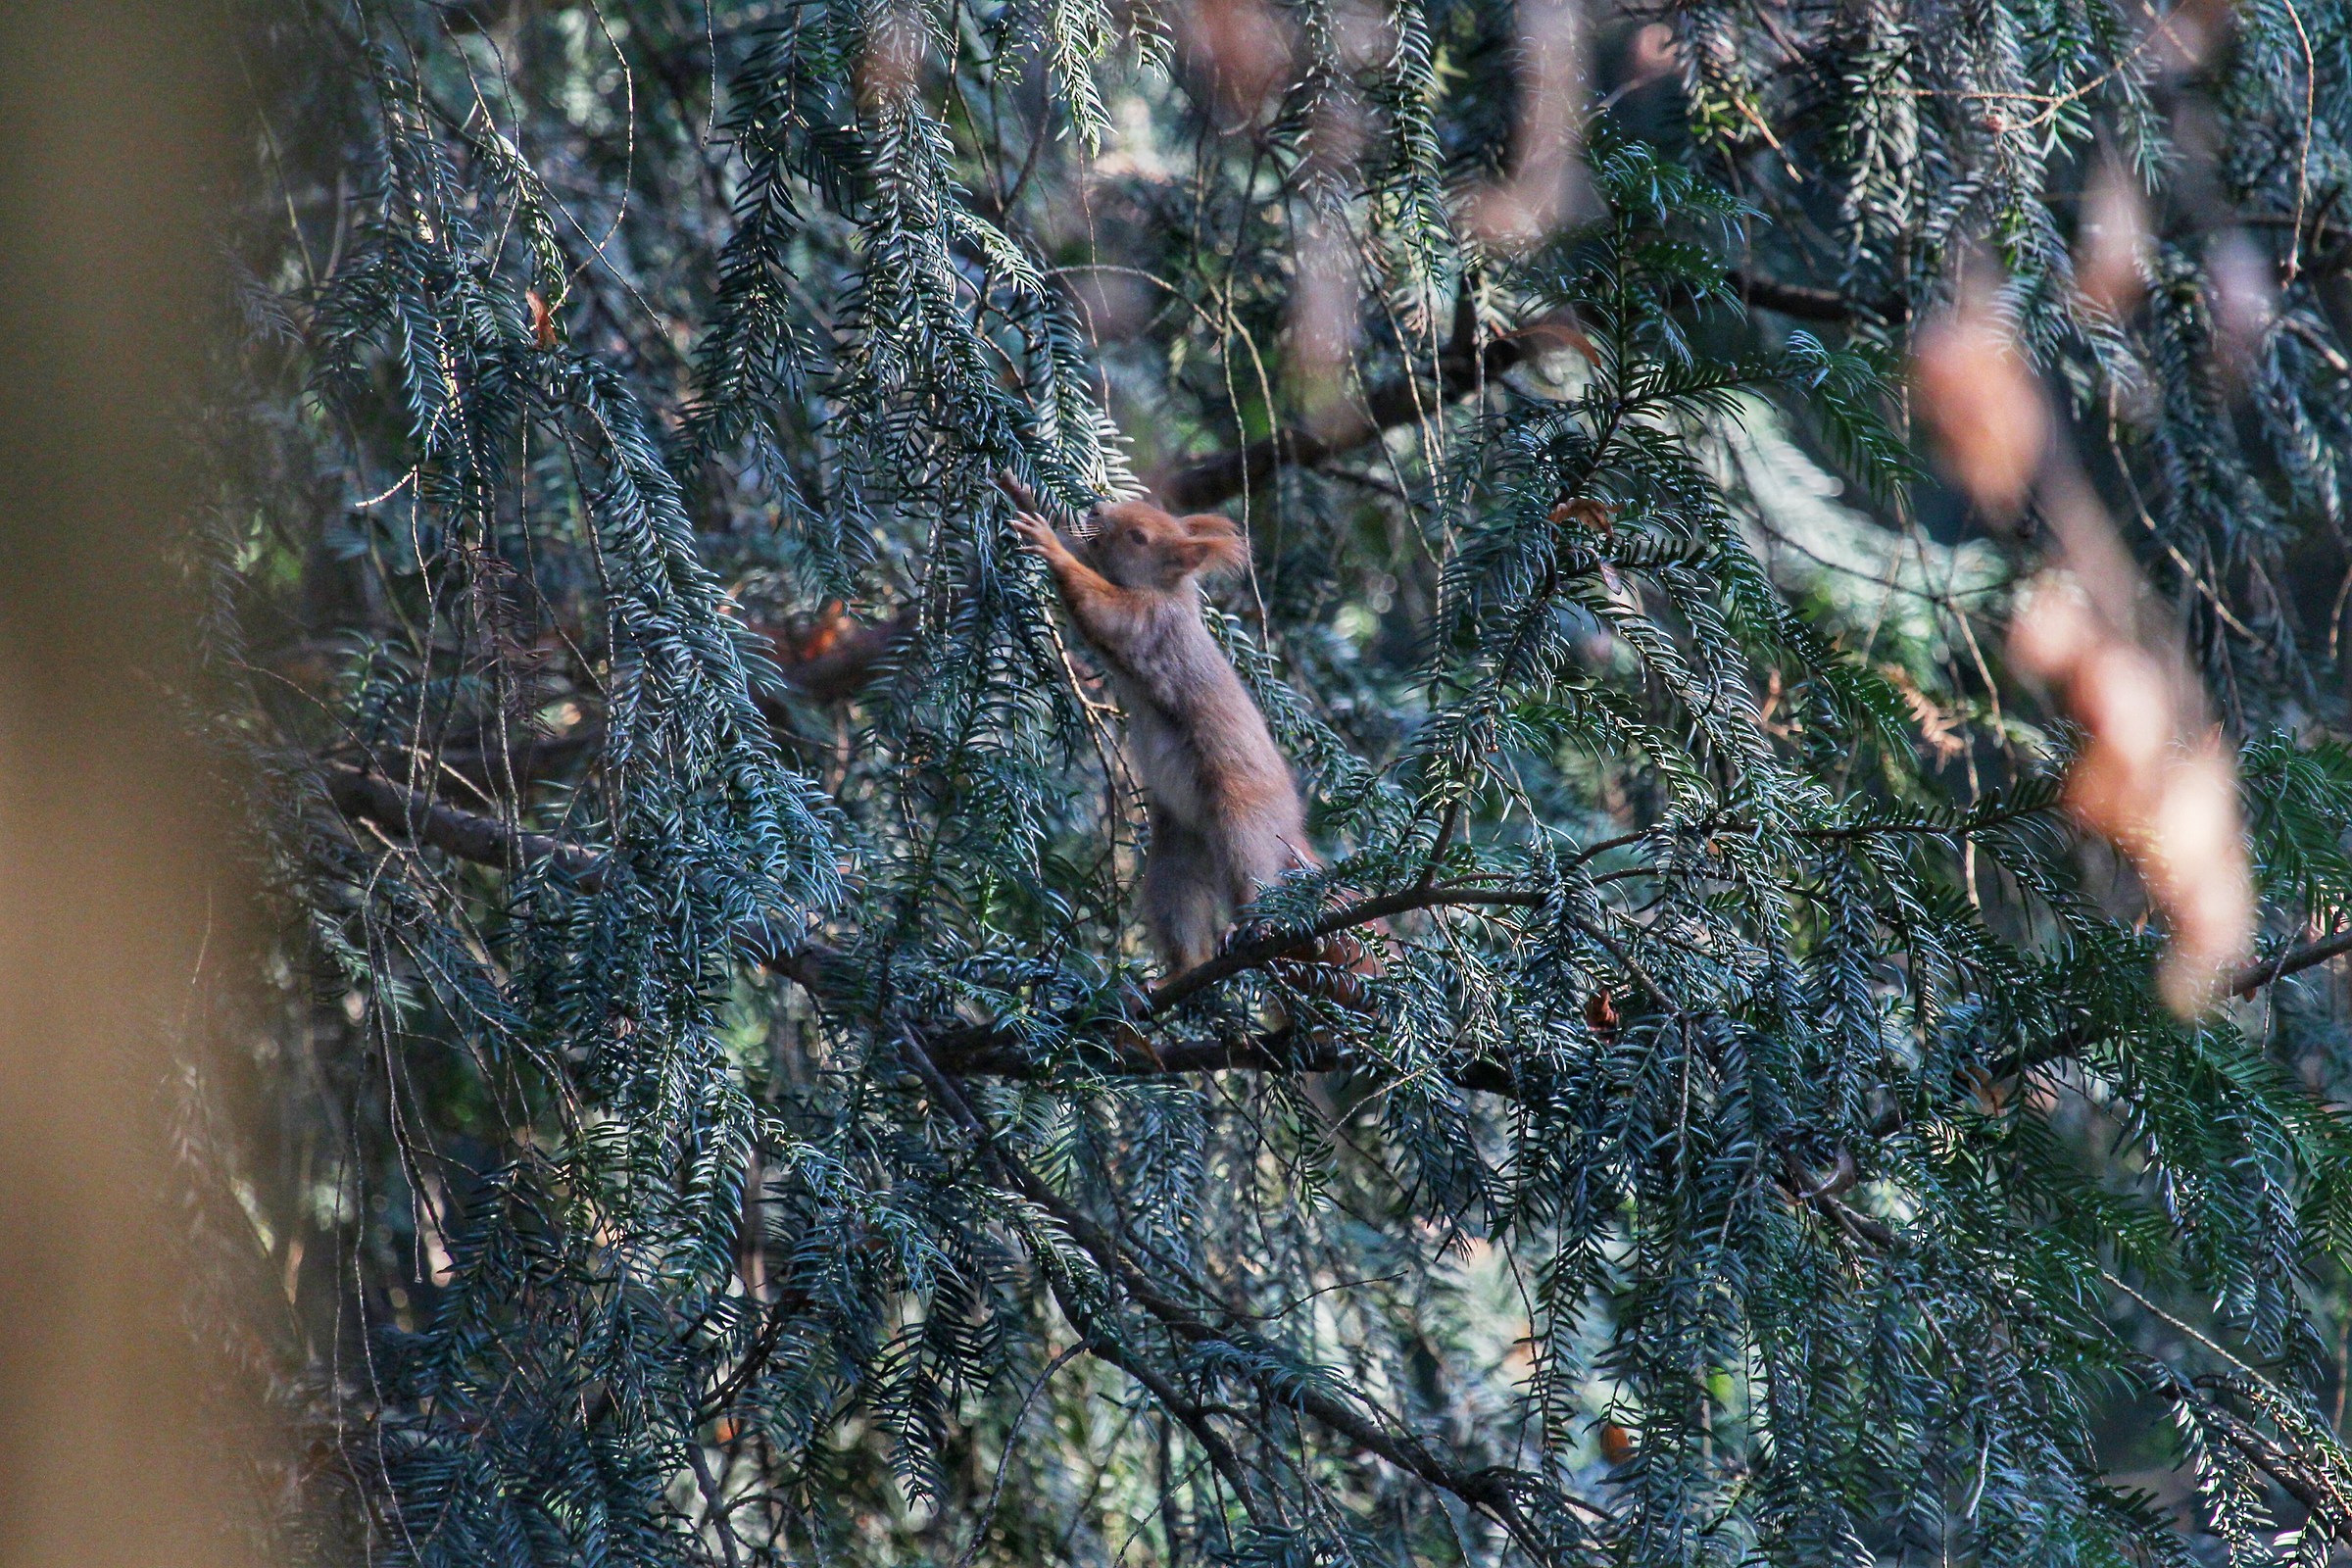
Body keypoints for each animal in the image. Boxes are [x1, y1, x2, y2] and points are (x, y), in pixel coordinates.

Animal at [1004, 489, 1314, 975]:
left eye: (1138, 537)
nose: (1095, 508)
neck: (1164, 592)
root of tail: (1291, 822)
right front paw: (1036, 502)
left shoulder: (1146, 621)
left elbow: (1098, 607)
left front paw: (1049, 542)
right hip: (1178, 848)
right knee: (1182, 906)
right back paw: (1176, 976)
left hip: (1242, 817)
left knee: (1252, 873)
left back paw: (1251, 928)